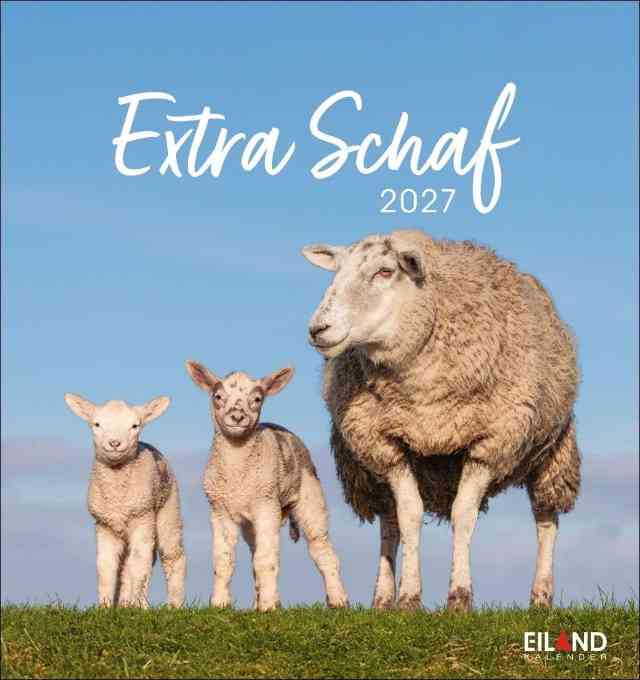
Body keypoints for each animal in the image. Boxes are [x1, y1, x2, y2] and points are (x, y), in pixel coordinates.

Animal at [64, 394, 186, 608]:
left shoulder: (142, 516)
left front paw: (137, 607)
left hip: (169, 508)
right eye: (97, 424)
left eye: (135, 425)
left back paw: (173, 605)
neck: (117, 498)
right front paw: (104, 608)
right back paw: (126, 604)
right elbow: (105, 566)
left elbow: (140, 563)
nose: (114, 443)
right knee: (127, 566)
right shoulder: (104, 524)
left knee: (172, 556)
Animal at [185, 360, 349, 611]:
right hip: (253, 522)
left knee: (321, 548)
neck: (237, 473)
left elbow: (266, 560)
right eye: (218, 396)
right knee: (256, 554)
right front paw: (220, 603)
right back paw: (260, 602)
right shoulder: (219, 509)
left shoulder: (265, 504)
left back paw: (338, 600)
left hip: (309, 497)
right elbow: (224, 560)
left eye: (257, 399)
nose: (237, 417)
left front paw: (269, 607)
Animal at [301, 228, 581, 611]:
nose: (318, 328)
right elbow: (408, 516)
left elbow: (464, 514)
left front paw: (459, 597)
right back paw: (382, 598)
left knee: (546, 518)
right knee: (388, 522)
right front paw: (408, 597)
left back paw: (541, 597)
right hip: (369, 465)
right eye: (336, 271)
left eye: (385, 271)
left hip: (551, 451)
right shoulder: (388, 445)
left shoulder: (488, 444)